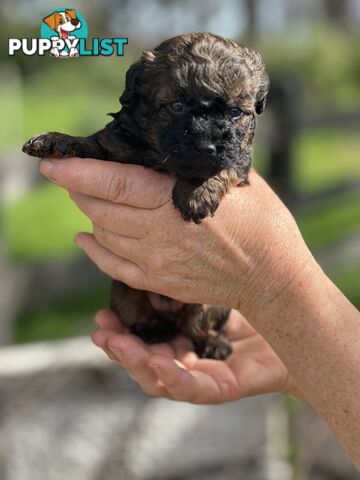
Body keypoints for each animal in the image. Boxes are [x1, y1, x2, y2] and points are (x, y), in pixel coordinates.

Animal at [22, 33, 268, 360]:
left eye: (235, 112)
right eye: (177, 105)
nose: (208, 146)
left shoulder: (239, 161)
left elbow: (224, 167)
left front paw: (196, 193)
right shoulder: (114, 147)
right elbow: (87, 143)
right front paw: (53, 140)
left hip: (214, 303)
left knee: (199, 325)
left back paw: (214, 343)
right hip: (122, 291)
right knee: (138, 313)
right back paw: (152, 329)